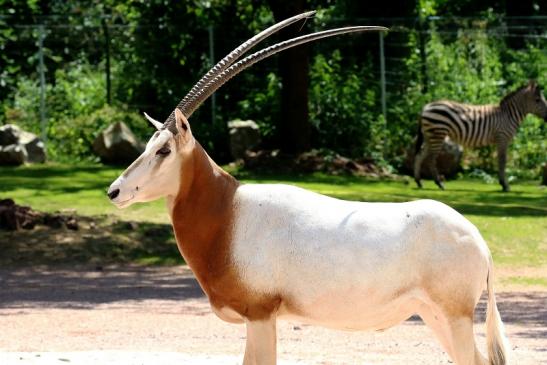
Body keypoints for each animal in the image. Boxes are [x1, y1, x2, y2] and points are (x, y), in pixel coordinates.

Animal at [107, 11, 510, 364]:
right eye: (148, 144)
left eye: (163, 149)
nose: (114, 192)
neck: (229, 212)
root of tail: (479, 240)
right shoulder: (259, 318)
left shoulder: (261, 314)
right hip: (434, 314)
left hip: (454, 316)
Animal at [416, 80, 547, 191]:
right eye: (537, 100)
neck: (508, 115)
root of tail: (426, 106)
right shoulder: (502, 138)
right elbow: (502, 161)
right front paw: (504, 185)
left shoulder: (500, 140)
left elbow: (500, 161)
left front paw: (503, 184)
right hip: (437, 134)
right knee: (431, 159)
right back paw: (439, 183)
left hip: (429, 135)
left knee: (420, 155)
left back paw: (419, 182)